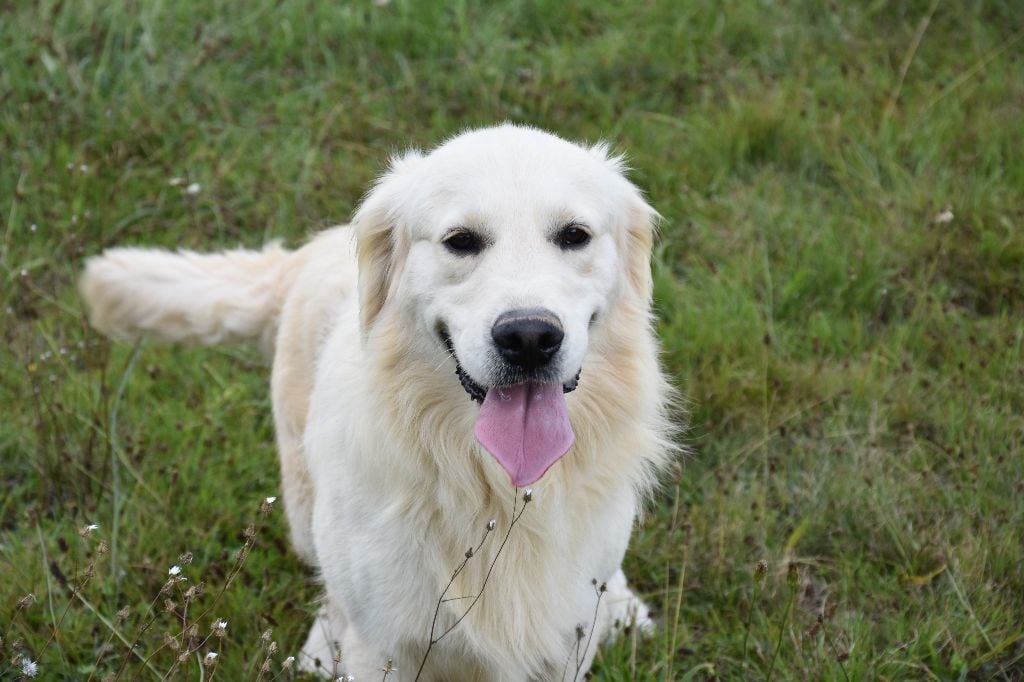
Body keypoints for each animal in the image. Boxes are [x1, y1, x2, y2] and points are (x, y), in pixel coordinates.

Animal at [77, 124, 671, 675]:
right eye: (461, 241)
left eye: (575, 236)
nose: (528, 338)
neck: (492, 487)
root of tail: (303, 254)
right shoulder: (386, 643)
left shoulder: (563, 648)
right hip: (303, 508)